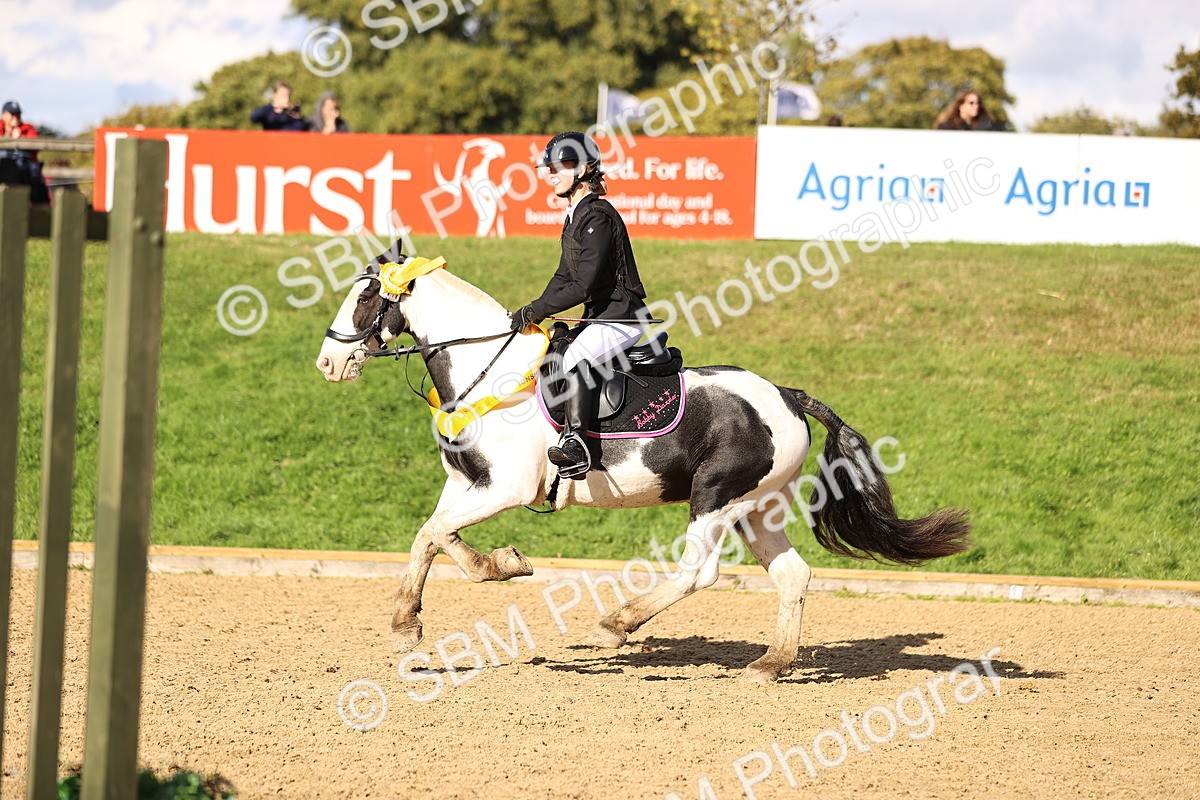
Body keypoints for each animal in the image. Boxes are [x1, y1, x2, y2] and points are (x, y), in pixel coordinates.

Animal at [314, 252, 971, 682]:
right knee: (792, 576)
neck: (490, 371)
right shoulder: (467, 484)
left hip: (715, 498)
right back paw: (770, 664)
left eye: (366, 298)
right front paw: (411, 623)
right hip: (756, 508)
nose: (327, 363)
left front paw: (500, 565)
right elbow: (429, 537)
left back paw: (616, 625)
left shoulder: (504, 488)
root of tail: (786, 394)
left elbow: (439, 537)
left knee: (698, 573)